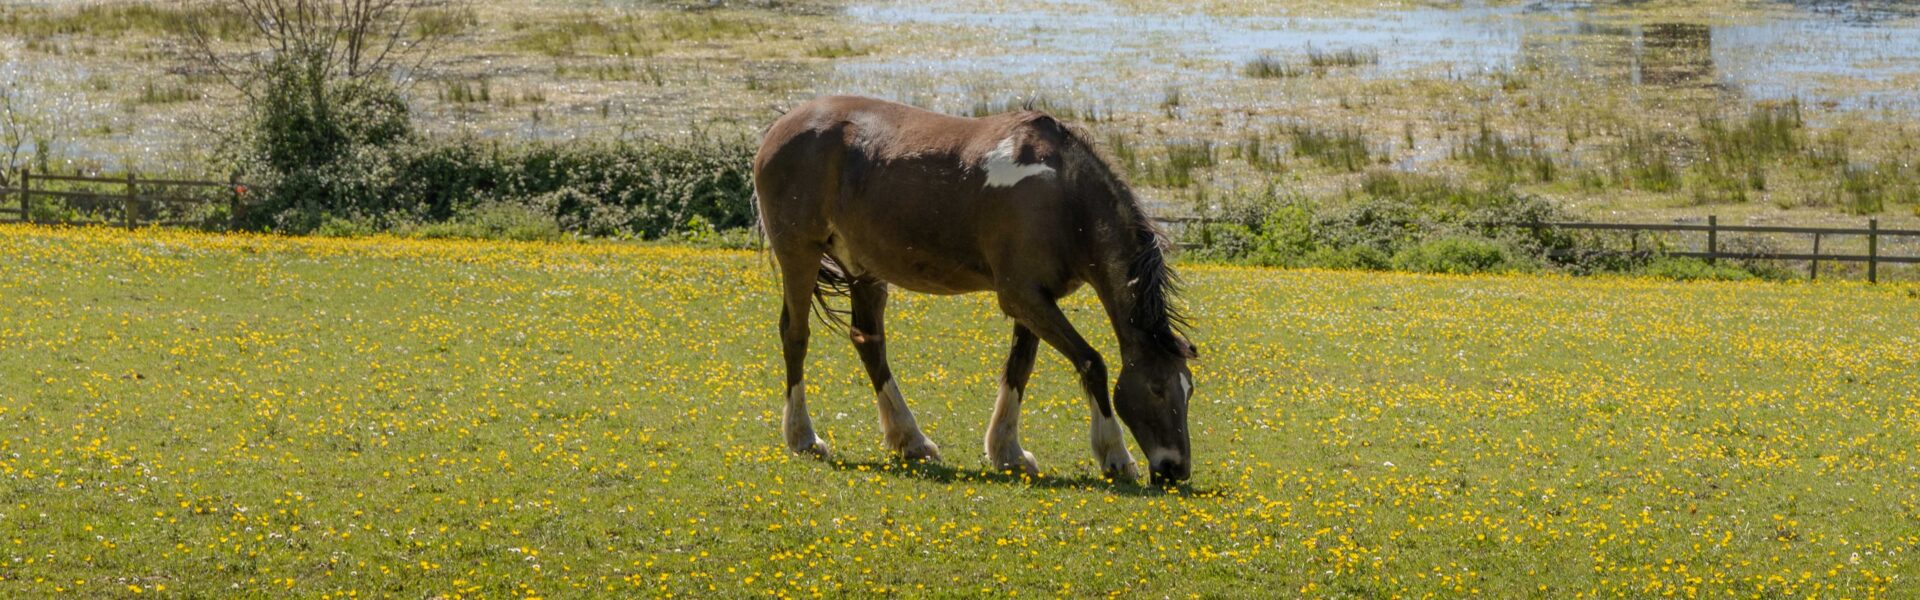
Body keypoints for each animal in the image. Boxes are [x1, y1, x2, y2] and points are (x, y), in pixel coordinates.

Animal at [752, 95, 1198, 484]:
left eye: (1188, 389)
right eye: (1158, 389)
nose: (1175, 468)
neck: (1064, 195)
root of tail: (778, 129)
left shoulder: (1036, 300)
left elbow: (1019, 368)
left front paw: (1008, 452)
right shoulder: (1022, 296)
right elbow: (1092, 363)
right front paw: (1116, 457)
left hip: (863, 269)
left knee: (869, 344)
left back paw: (910, 440)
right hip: (800, 253)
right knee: (795, 335)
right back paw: (804, 438)